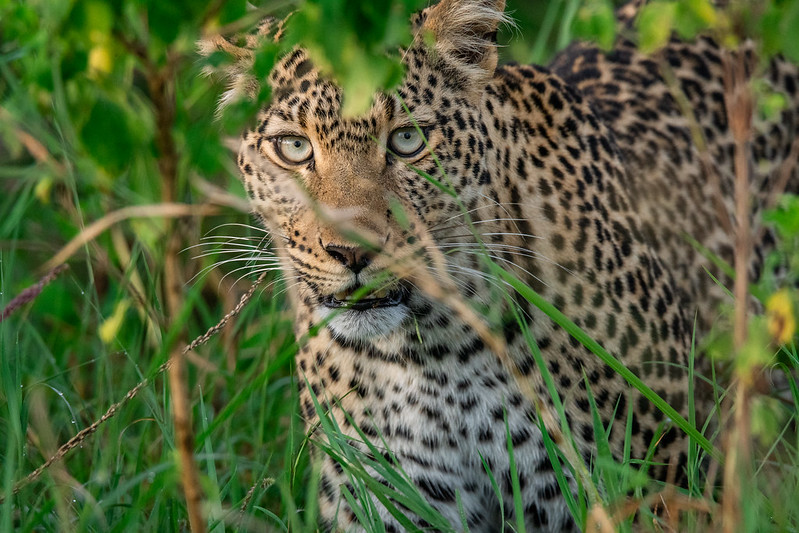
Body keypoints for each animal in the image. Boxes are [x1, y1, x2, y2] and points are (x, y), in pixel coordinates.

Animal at [200, 2, 799, 528]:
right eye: (293, 148)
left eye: (408, 139)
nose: (351, 252)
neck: (435, 353)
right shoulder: (385, 499)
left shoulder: (654, 483)